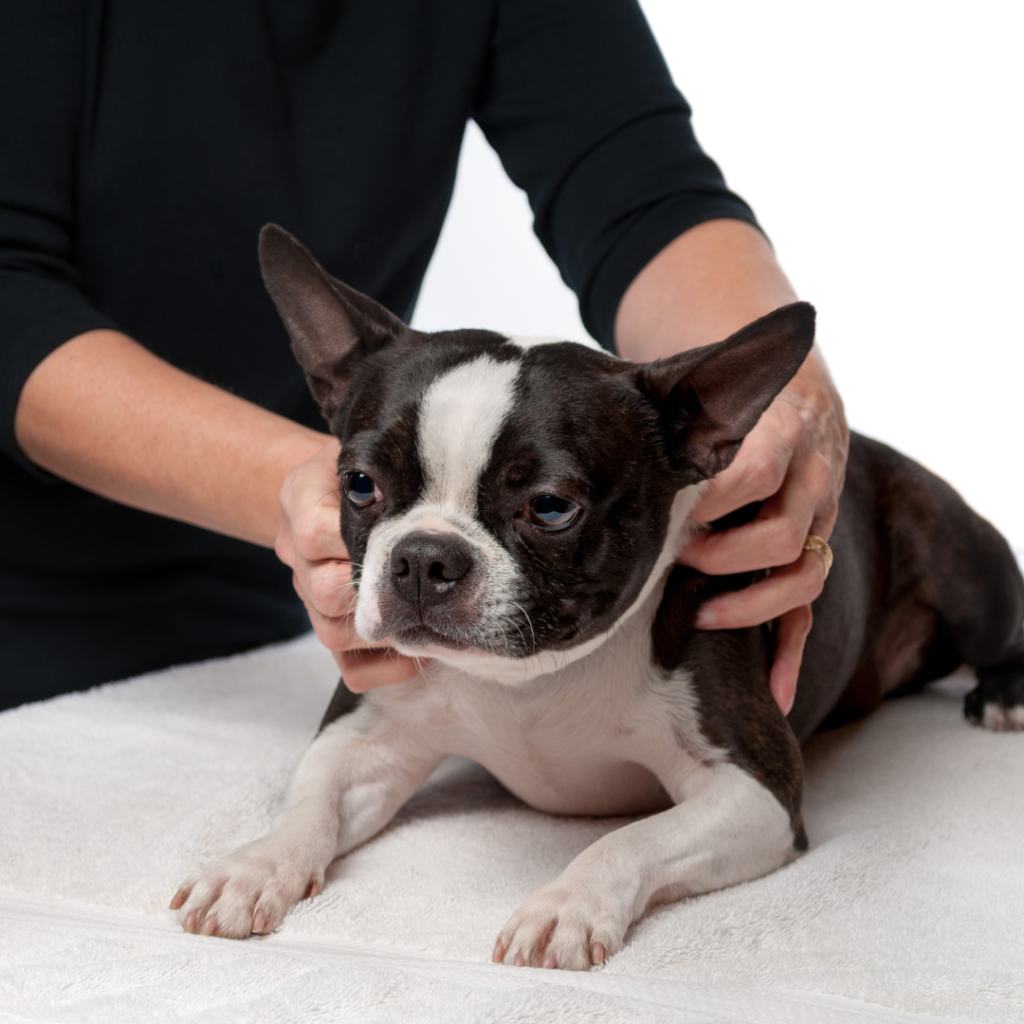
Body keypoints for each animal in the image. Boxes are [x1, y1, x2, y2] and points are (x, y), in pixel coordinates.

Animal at [169, 222, 1024, 966]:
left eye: (551, 507)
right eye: (358, 484)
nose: (423, 557)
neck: (529, 681)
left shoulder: (755, 791)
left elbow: (630, 838)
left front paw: (567, 905)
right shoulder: (366, 733)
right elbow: (307, 802)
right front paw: (254, 865)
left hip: (954, 559)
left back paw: (1004, 693)